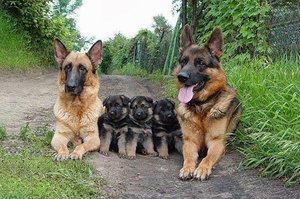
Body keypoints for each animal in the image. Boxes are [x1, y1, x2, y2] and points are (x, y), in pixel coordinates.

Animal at [175, 24, 243, 180]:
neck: (202, 106)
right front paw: (187, 168)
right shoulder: (190, 142)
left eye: (200, 63)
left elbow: (208, 157)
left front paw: (202, 169)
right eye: (183, 62)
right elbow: (189, 157)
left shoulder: (216, 142)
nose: (181, 77)